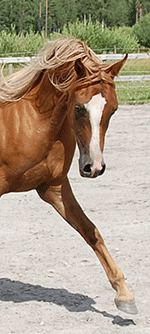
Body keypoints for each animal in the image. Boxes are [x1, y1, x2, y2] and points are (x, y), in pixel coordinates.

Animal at [0, 37, 137, 314]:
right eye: (79, 108)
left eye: (114, 110)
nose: (94, 167)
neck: (30, 122)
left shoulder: (53, 187)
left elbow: (90, 230)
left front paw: (124, 295)